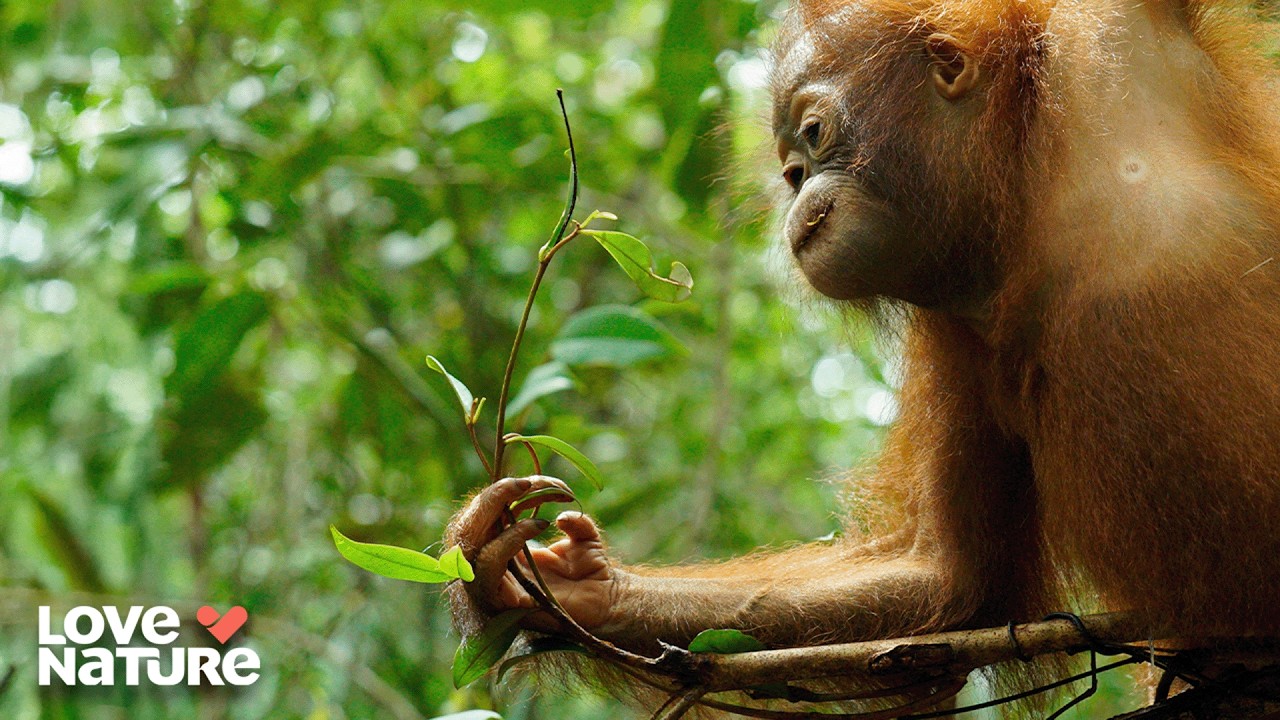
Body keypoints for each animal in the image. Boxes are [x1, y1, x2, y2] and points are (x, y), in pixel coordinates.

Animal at [447, 0, 1280, 706]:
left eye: (813, 135)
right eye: (787, 167)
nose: (796, 192)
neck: (1023, 196)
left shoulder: (1117, 46)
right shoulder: (953, 335)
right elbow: (954, 579)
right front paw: (562, 588)